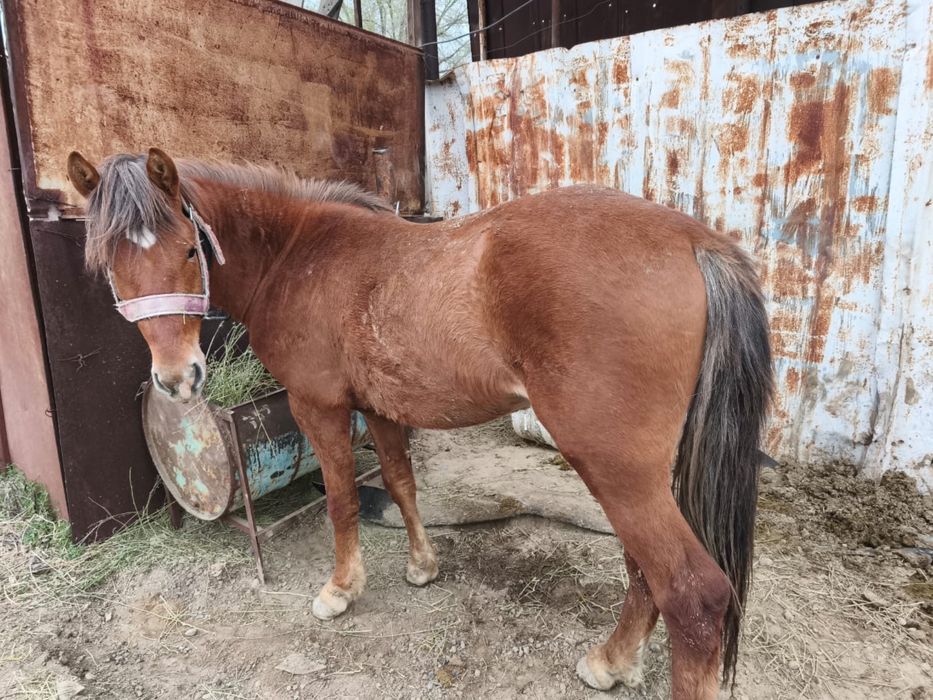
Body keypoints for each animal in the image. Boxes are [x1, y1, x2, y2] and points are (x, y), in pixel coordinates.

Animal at [67, 148, 772, 699]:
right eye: (110, 267)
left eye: (190, 249)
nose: (178, 379)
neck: (297, 253)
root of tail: (693, 240)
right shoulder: (381, 409)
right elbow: (401, 484)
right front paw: (422, 565)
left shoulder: (320, 408)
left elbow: (344, 501)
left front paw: (341, 590)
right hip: (637, 474)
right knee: (644, 572)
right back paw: (613, 661)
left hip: (613, 468)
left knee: (693, 593)